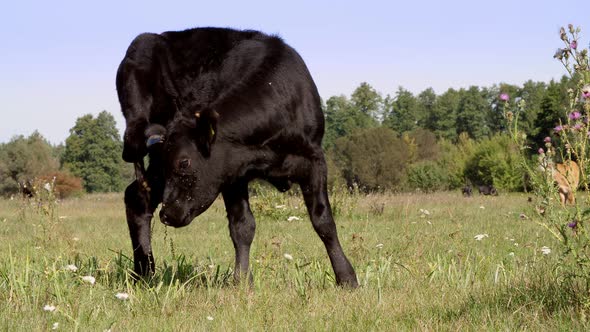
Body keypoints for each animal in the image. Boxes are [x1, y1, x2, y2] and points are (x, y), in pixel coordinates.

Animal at [114, 28, 358, 286]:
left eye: (184, 162)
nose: (167, 214)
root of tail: (144, 39)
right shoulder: (232, 172)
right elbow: (242, 226)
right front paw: (242, 281)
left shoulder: (314, 160)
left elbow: (323, 220)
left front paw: (346, 278)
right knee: (137, 197)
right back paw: (144, 271)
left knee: (138, 196)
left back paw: (144, 272)